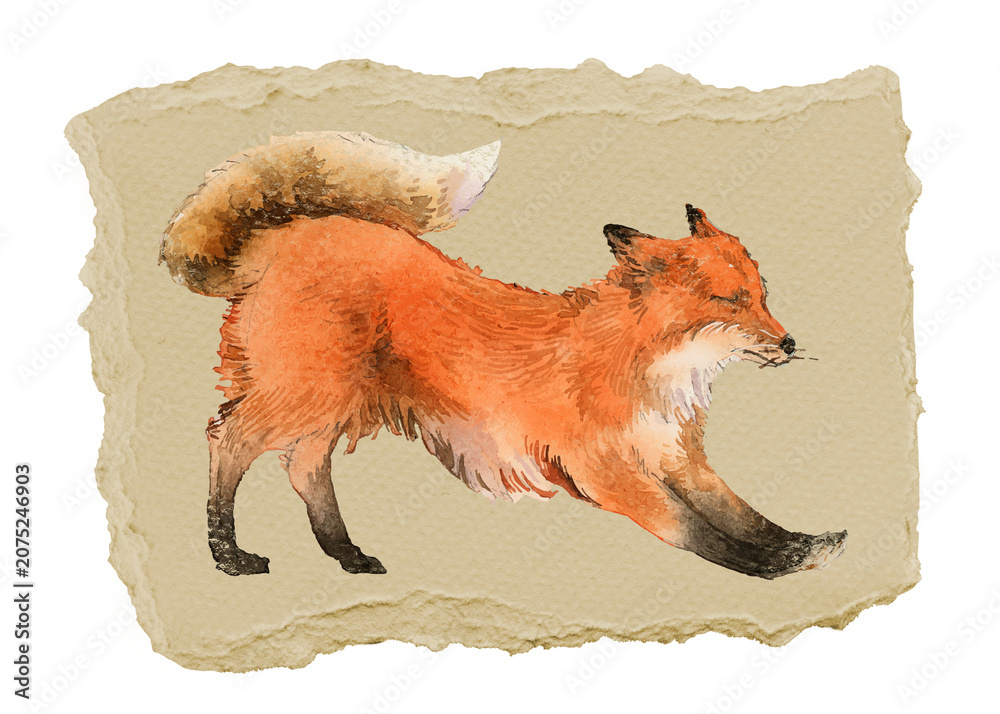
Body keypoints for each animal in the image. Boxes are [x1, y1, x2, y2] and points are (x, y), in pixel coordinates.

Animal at [160, 130, 847, 580]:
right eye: (727, 301)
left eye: (762, 294)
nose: (789, 342)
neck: (646, 366)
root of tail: (293, 232)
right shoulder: (603, 469)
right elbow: (697, 532)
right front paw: (769, 569)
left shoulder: (676, 457)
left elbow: (747, 516)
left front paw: (802, 546)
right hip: (311, 394)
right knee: (227, 439)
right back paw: (227, 554)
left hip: (333, 403)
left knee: (303, 468)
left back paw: (345, 554)